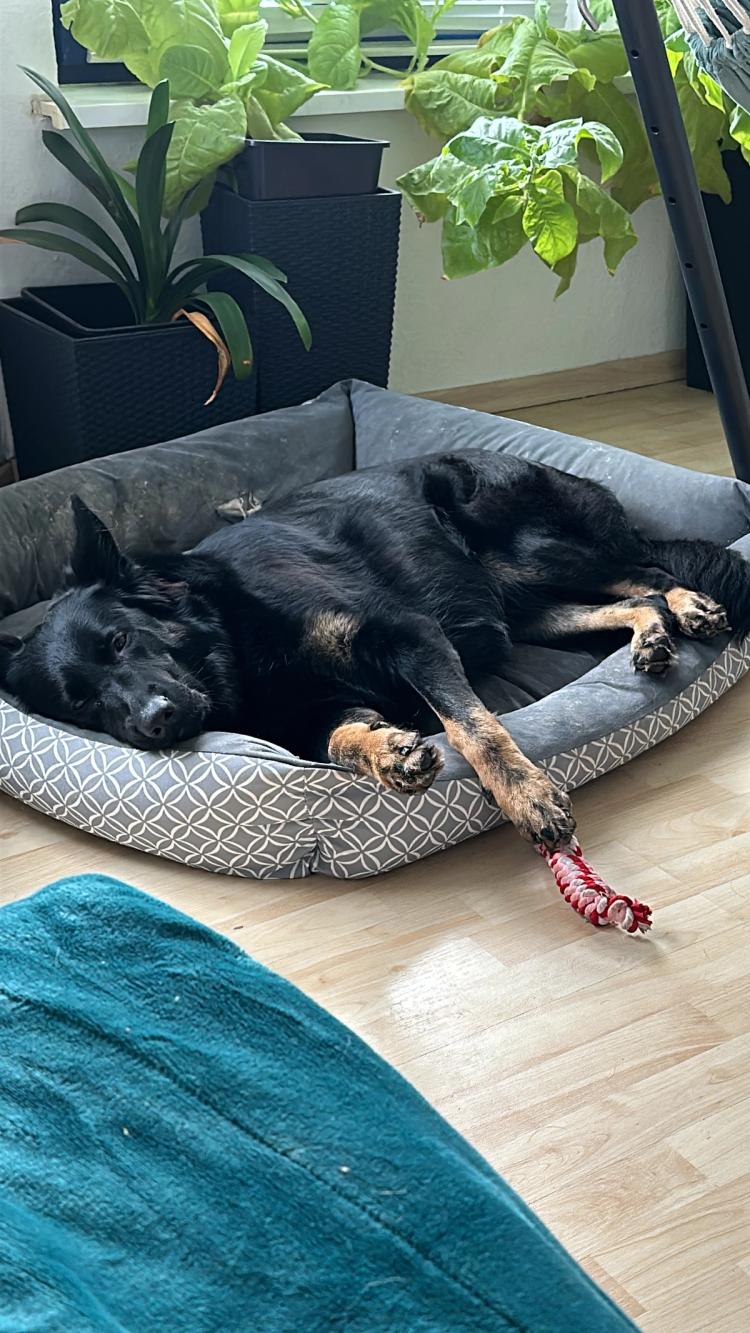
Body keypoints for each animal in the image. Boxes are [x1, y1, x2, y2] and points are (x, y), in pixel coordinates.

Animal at [1, 447, 750, 842]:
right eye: (81, 703)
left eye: (121, 639)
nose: (155, 722)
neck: (233, 631)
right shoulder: (314, 715)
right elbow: (341, 739)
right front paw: (387, 752)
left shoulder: (412, 635)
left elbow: (474, 726)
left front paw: (527, 795)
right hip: (521, 608)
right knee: (634, 596)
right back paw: (652, 637)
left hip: (531, 555)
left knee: (652, 570)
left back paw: (693, 608)